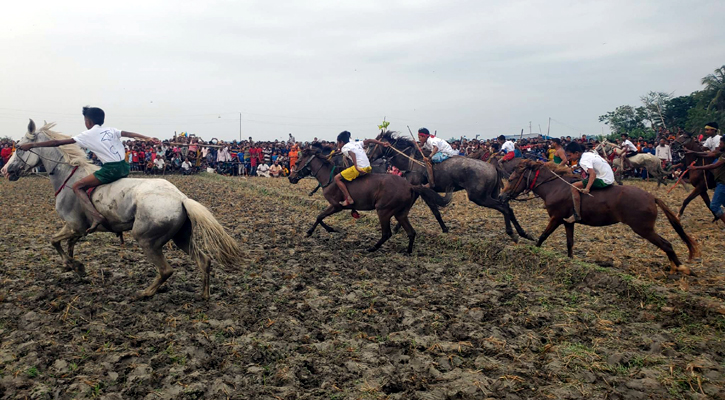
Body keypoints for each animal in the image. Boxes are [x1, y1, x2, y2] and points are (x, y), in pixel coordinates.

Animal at [2, 120, 243, 298]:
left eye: (20, 146)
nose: (5, 170)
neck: (69, 177)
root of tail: (181, 198)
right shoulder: (78, 228)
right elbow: (67, 244)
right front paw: (73, 266)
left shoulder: (74, 225)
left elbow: (54, 241)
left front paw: (75, 266)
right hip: (181, 238)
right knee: (204, 261)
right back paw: (204, 295)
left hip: (147, 240)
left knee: (166, 270)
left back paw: (145, 293)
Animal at [288, 147, 446, 253]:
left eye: (297, 161)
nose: (290, 177)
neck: (329, 177)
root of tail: (410, 186)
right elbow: (319, 217)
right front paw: (314, 231)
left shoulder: (336, 205)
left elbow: (320, 216)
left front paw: (323, 230)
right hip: (400, 213)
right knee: (411, 232)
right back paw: (407, 252)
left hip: (384, 211)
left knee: (387, 233)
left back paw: (372, 248)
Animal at [368, 133, 532, 242]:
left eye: (370, 145)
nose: (368, 158)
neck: (412, 160)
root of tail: (492, 166)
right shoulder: (421, 191)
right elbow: (433, 211)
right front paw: (444, 228)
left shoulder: (419, 189)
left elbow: (423, 210)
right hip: (491, 194)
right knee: (508, 207)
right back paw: (523, 233)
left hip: (479, 197)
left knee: (503, 208)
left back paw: (512, 233)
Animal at [500, 159, 700, 276]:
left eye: (511, 179)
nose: (502, 196)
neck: (556, 187)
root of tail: (651, 197)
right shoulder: (566, 222)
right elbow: (570, 243)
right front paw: (570, 262)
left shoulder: (556, 218)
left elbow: (542, 236)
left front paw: (531, 251)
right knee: (666, 245)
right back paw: (675, 267)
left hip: (643, 228)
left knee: (666, 244)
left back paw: (681, 268)